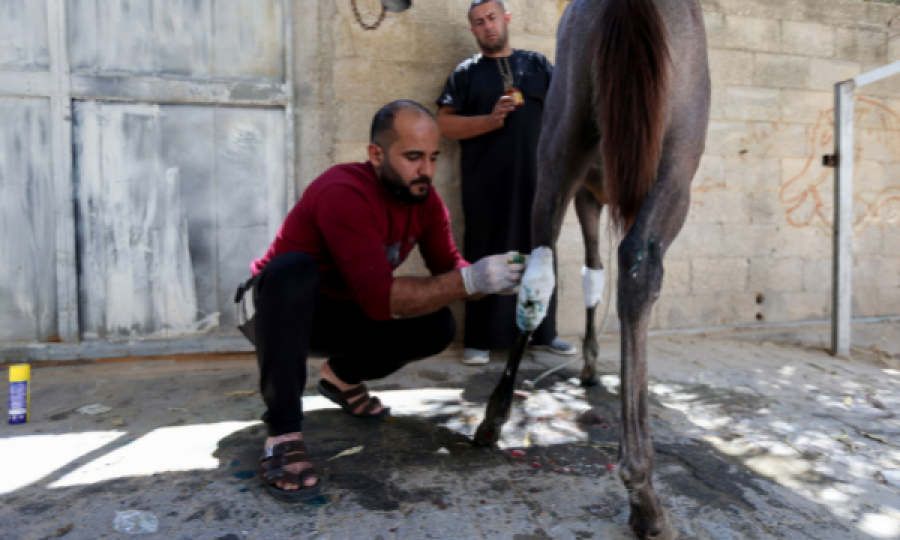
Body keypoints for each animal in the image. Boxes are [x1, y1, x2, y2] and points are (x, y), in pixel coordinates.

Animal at [472, 1, 712, 540]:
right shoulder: (599, 193)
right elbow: (601, 273)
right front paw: (592, 367)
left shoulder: (586, 192)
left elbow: (587, 271)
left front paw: (587, 366)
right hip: (676, 164)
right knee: (638, 270)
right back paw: (644, 497)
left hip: (560, 145)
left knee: (538, 266)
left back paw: (493, 418)